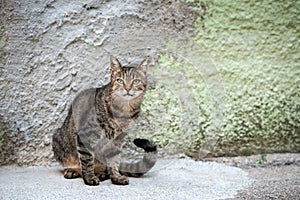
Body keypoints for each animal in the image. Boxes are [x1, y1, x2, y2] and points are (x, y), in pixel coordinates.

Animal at [51, 55, 158, 186]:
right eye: (119, 80)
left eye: (136, 81)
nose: (127, 88)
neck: (123, 111)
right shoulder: (86, 135)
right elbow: (87, 160)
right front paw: (89, 178)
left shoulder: (118, 140)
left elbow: (114, 161)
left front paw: (116, 177)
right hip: (58, 138)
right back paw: (74, 170)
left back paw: (101, 173)